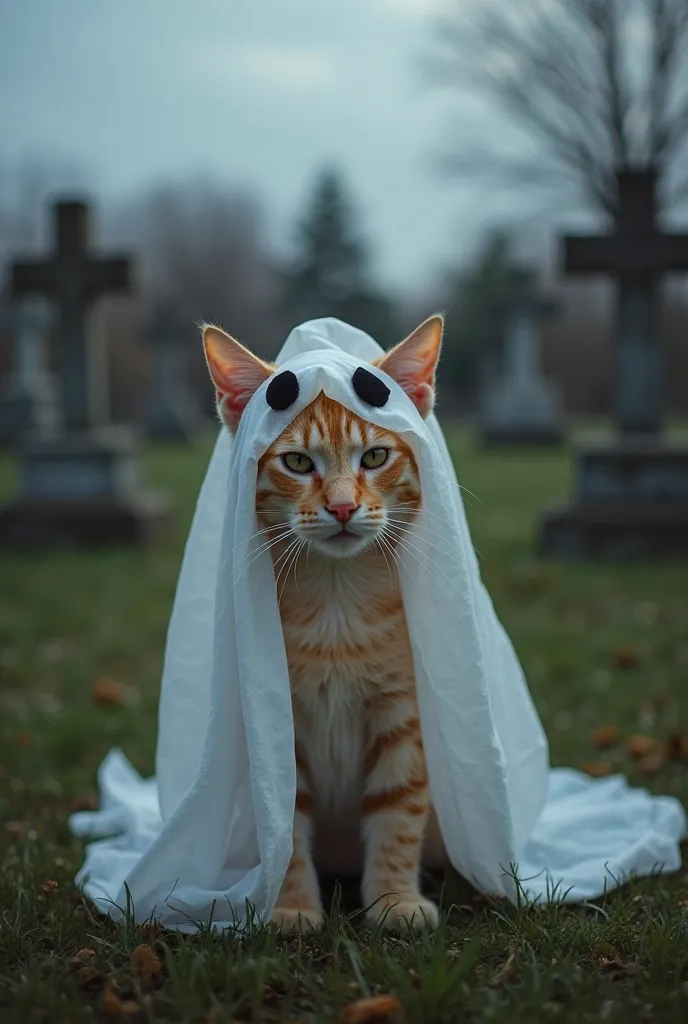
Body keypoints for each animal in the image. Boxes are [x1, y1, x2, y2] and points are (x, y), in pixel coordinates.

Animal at [202, 315, 446, 933]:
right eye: (297, 463)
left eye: (375, 457)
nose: (340, 508)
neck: (337, 604)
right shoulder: (276, 727)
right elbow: (285, 823)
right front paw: (290, 906)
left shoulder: (401, 713)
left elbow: (398, 810)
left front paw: (394, 899)